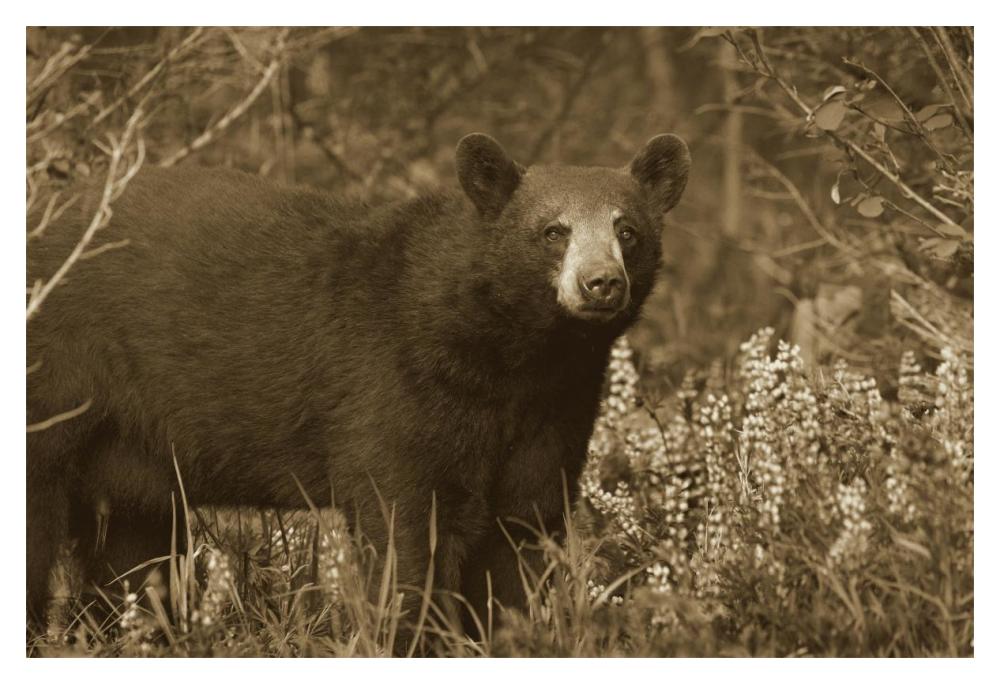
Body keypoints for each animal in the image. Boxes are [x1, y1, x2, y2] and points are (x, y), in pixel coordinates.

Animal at [26, 132, 690, 643]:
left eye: (627, 230)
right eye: (553, 231)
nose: (601, 282)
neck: (514, 356)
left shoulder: (554, 411)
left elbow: (522, 529)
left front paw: (507, 635)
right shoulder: (398, 385)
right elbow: (405, 528)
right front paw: (410, 637)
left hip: (129, 451)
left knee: (136, 547)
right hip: (56, 380)